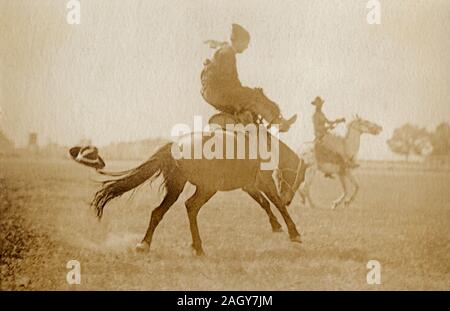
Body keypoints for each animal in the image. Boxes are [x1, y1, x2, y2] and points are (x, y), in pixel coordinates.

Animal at [91, 129, 306, 256]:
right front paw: (294, 233)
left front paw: (277, 226)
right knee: (191, 206)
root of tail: (175, 145)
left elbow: (265, 203)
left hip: (177, 187)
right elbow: (276, 203)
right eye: (301, 176)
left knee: (159, 212)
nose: (289, 199)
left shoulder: (250, 186)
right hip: (207, 188)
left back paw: (145, 244)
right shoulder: (264, 182)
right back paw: (198, 247)